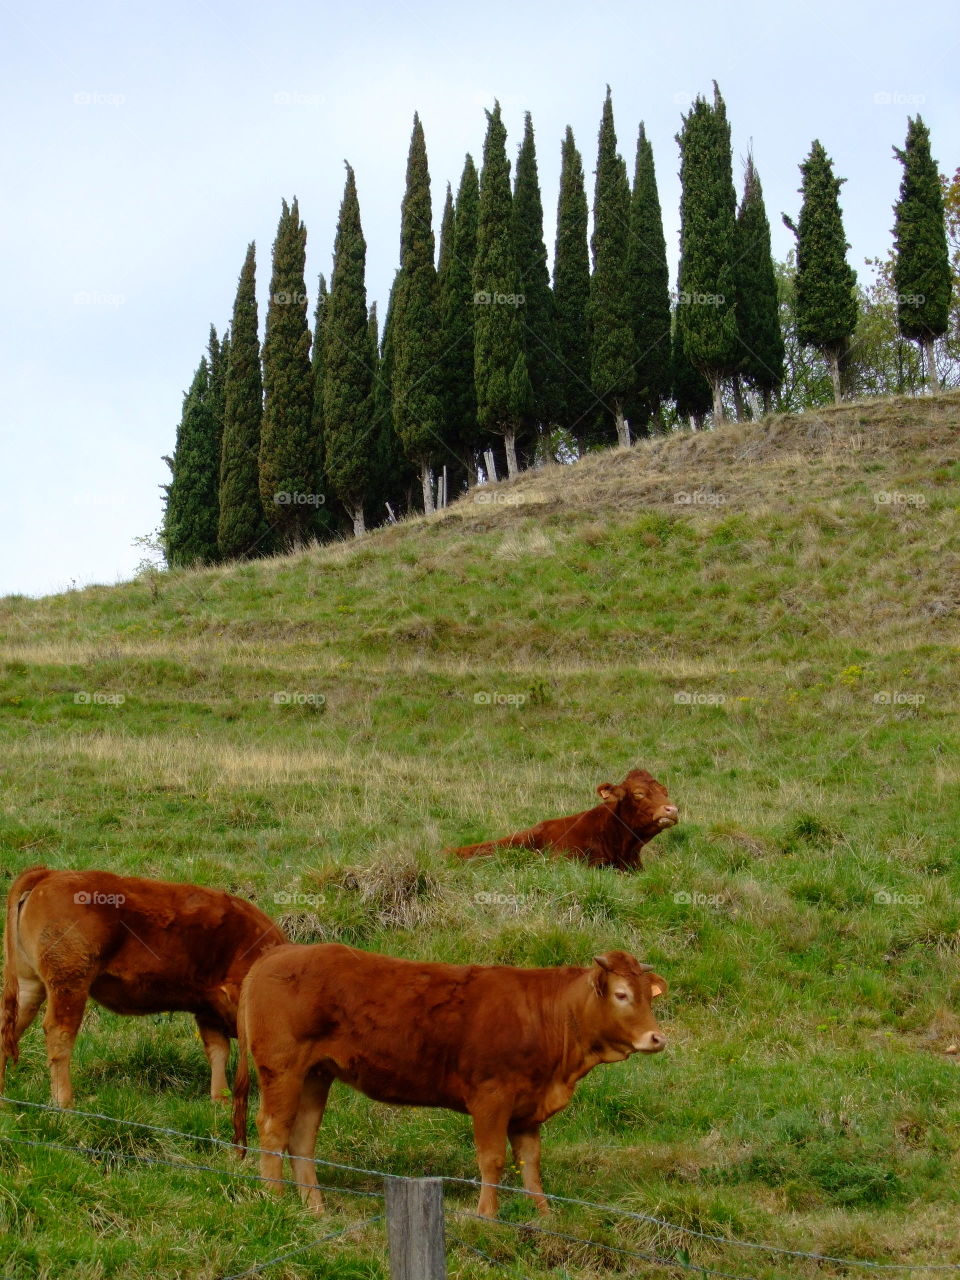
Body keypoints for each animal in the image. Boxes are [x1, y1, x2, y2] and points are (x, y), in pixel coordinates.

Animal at [0, 866, 286, 1108]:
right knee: (59, 1034)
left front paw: (220, 1098)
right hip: (70, 983)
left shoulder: (207, 1007)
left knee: (8, 1027)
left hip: (30, 985)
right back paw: (64, 1102)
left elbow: (218, 1051)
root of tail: (50, 873)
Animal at [232, 943, 667, 1218]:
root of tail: (280, 952)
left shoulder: (527, 1109)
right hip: (283, 1069)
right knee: (272, 1129)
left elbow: (530, 1165)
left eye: (650, 996)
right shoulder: (491, 1096)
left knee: (302, 1138)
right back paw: (274, 1199)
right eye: (622, 995)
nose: (657, 1038)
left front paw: (545, 1218)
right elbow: (492, 1160)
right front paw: (487, 1216)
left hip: (315, 1074)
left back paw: (316, 1209)